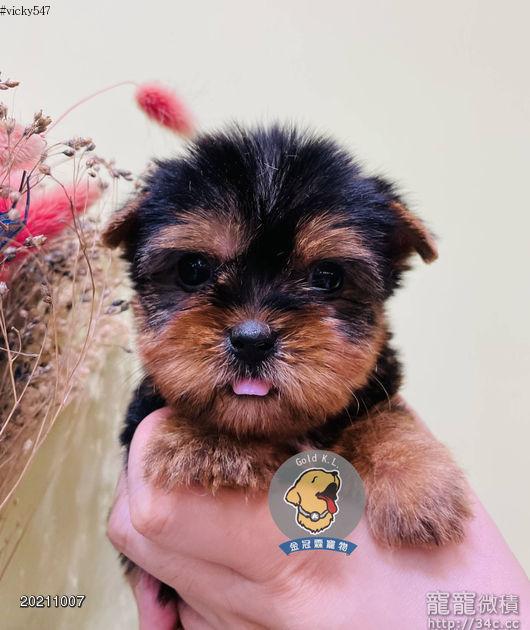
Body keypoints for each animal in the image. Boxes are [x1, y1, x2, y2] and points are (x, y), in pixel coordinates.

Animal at [103, 124, 471, 611]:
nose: (251, 339)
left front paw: (419, 485)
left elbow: (385, 416)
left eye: (328, 277)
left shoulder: (375, 386)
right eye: (193, 269)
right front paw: (213, 444)